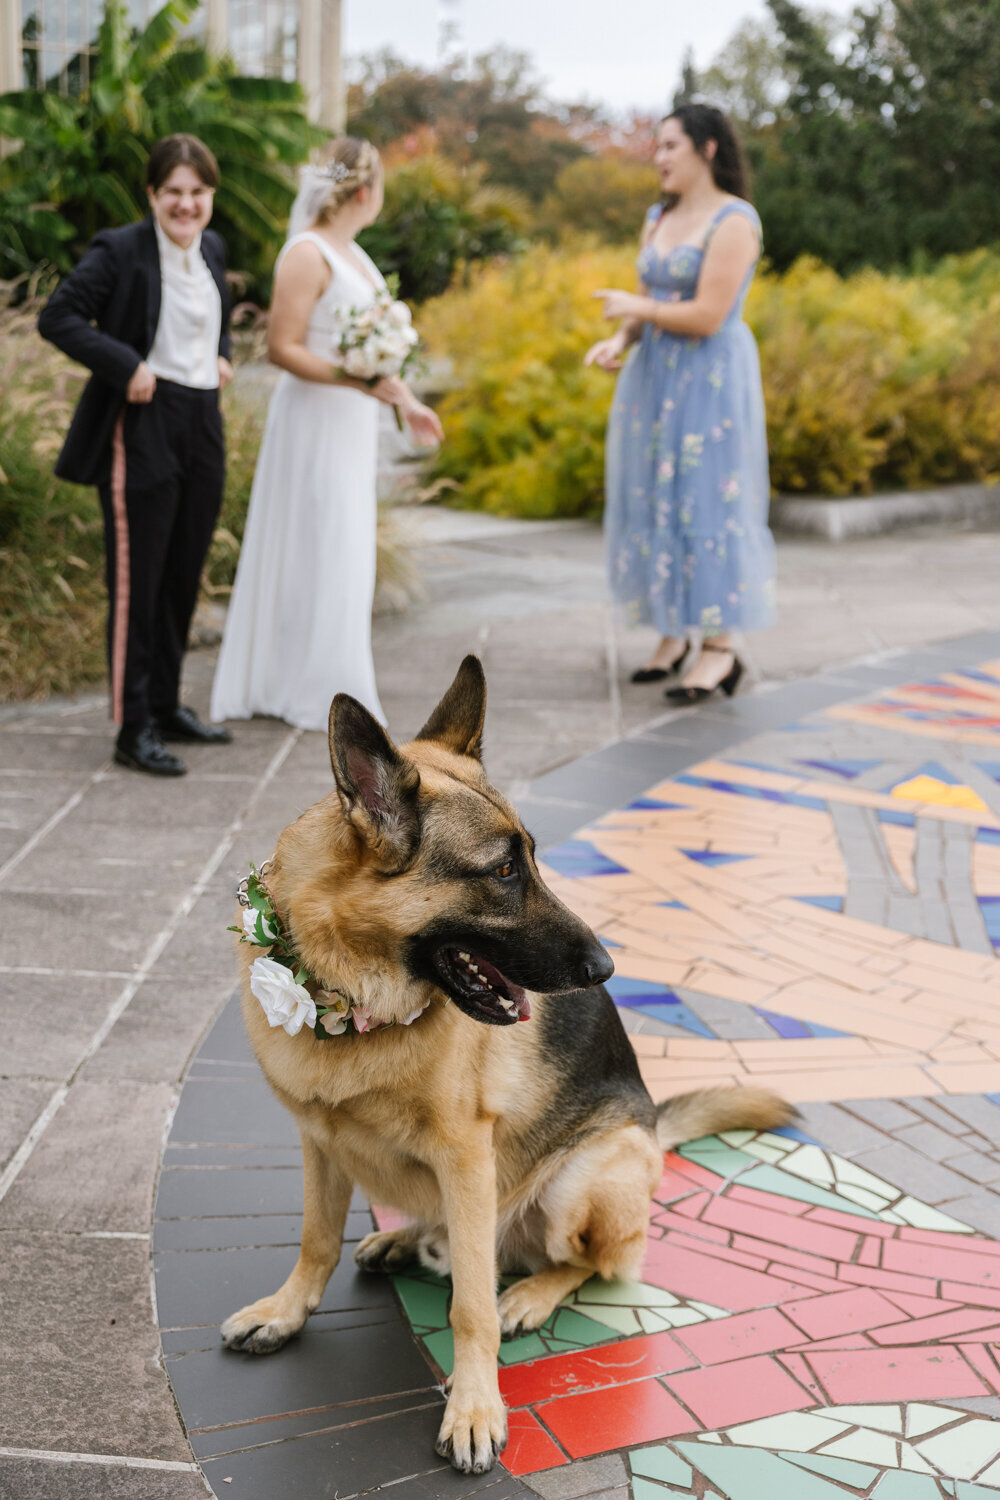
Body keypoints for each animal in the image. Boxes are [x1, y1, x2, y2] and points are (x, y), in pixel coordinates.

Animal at [220, 660, 791, 1476]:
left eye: (533, 860)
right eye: (501, 870)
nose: (606, 968)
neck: (351, 997)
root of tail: (652, 1128)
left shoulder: (466, 1155)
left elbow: (471, 1308)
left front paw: (474, 1408)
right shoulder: (318, 1141)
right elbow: (315, 1239)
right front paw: (285, 1312)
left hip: (586, 1176)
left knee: (586, 1264)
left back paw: (530, 1294)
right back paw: (405, 1240)